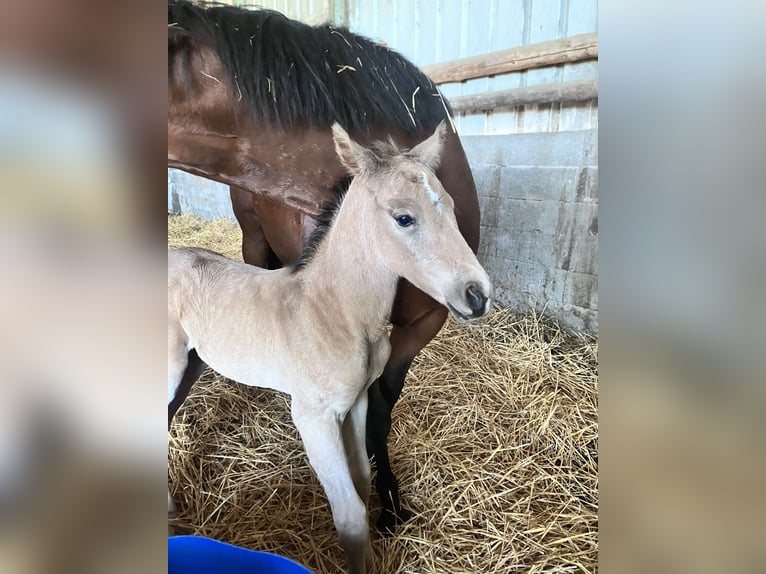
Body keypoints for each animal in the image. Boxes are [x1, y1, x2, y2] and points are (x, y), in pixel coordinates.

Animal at [168, 0, 481, 532]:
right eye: (403, 216)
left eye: (454, 210)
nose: (478, 295)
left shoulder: (423, 321)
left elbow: (381, 409)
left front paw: (389, 501)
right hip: (254, 240)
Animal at [168, 123, 492, 573]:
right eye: (404, 217)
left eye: (449, 204)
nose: (478, 295)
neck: (334, 312)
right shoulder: (312, 416)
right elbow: (349, 513)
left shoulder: (355, 403)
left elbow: (362, 481)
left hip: (191, 366)